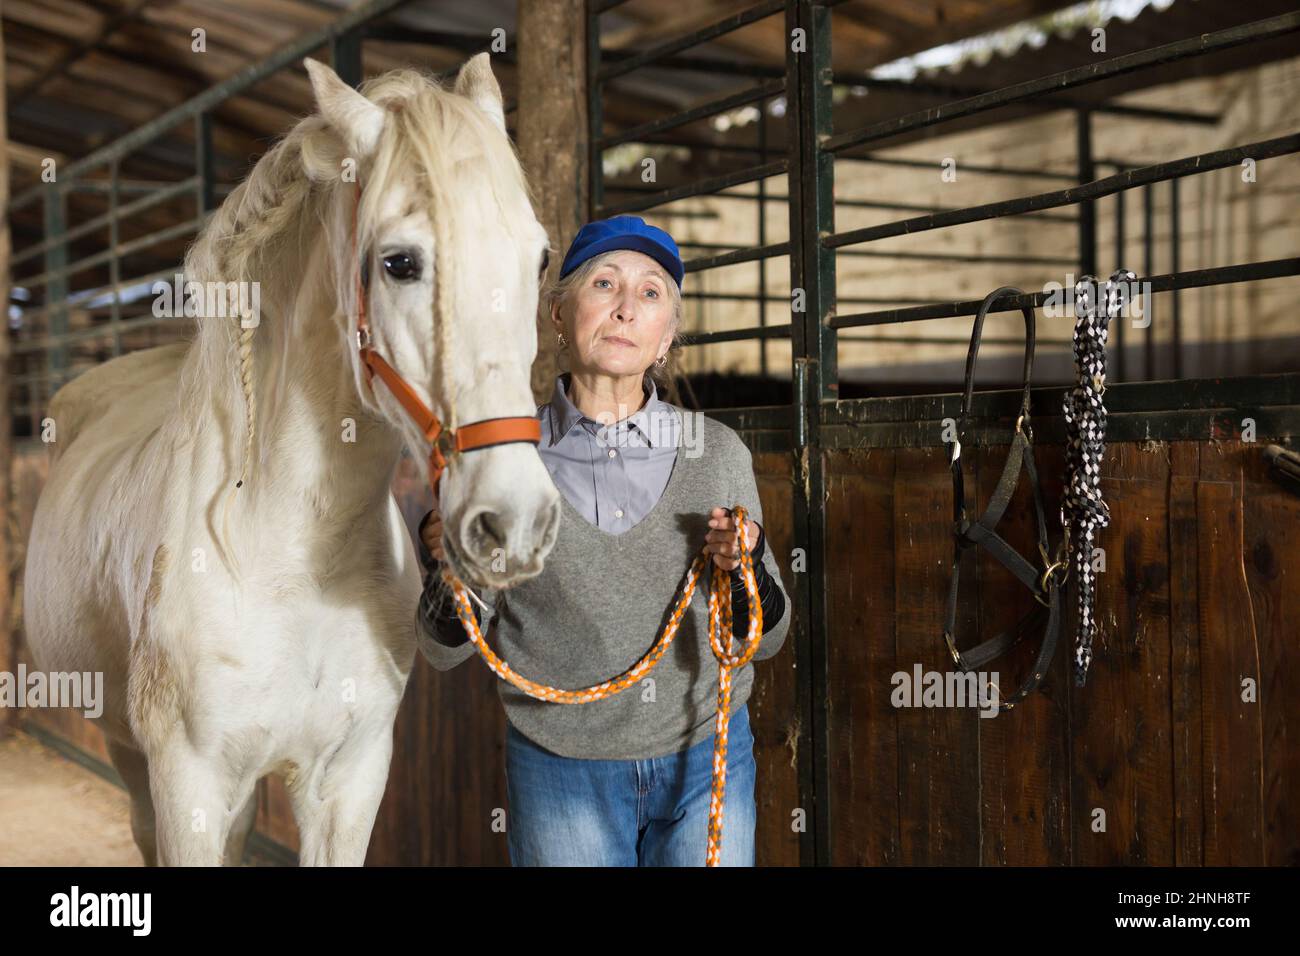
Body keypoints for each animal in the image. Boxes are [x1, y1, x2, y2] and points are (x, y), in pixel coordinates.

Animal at [20, 55, 559, 868]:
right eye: (400, 263)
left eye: (541, 257)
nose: (515, 521)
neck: (293, 556)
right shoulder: (188, 787)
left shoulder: (350, 781)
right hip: (127, 754)